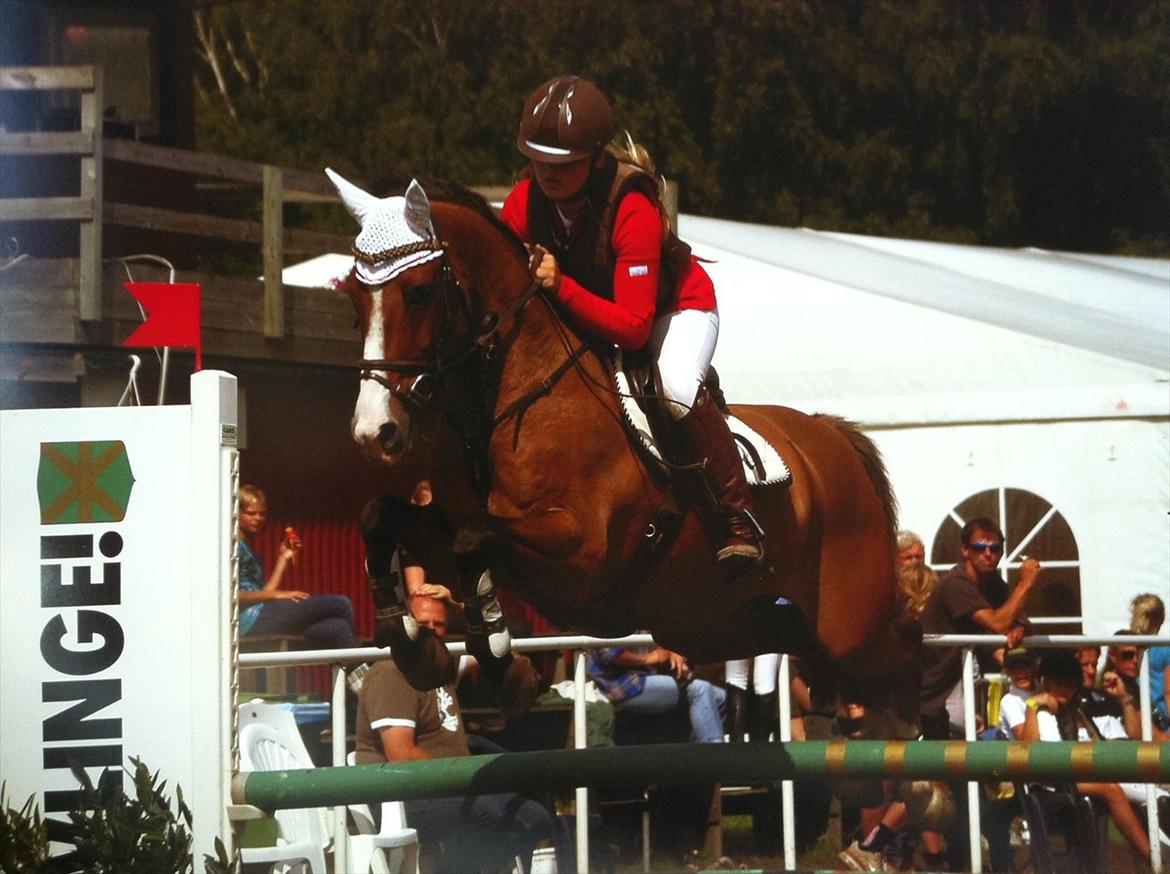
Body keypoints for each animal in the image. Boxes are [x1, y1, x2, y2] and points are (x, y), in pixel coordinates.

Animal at [327, 169, 918, 735]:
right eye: (353, 297)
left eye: (421, 292)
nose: (374, 431)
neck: (507, 396)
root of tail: (834, 438)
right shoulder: (449, 524)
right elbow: (383, 517)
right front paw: (412, 642)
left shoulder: (581, 556)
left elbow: (476, 540)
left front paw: (500, 659)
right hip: (708, 623)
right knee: (787, 642)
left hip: (852, 632)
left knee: (900, 667)